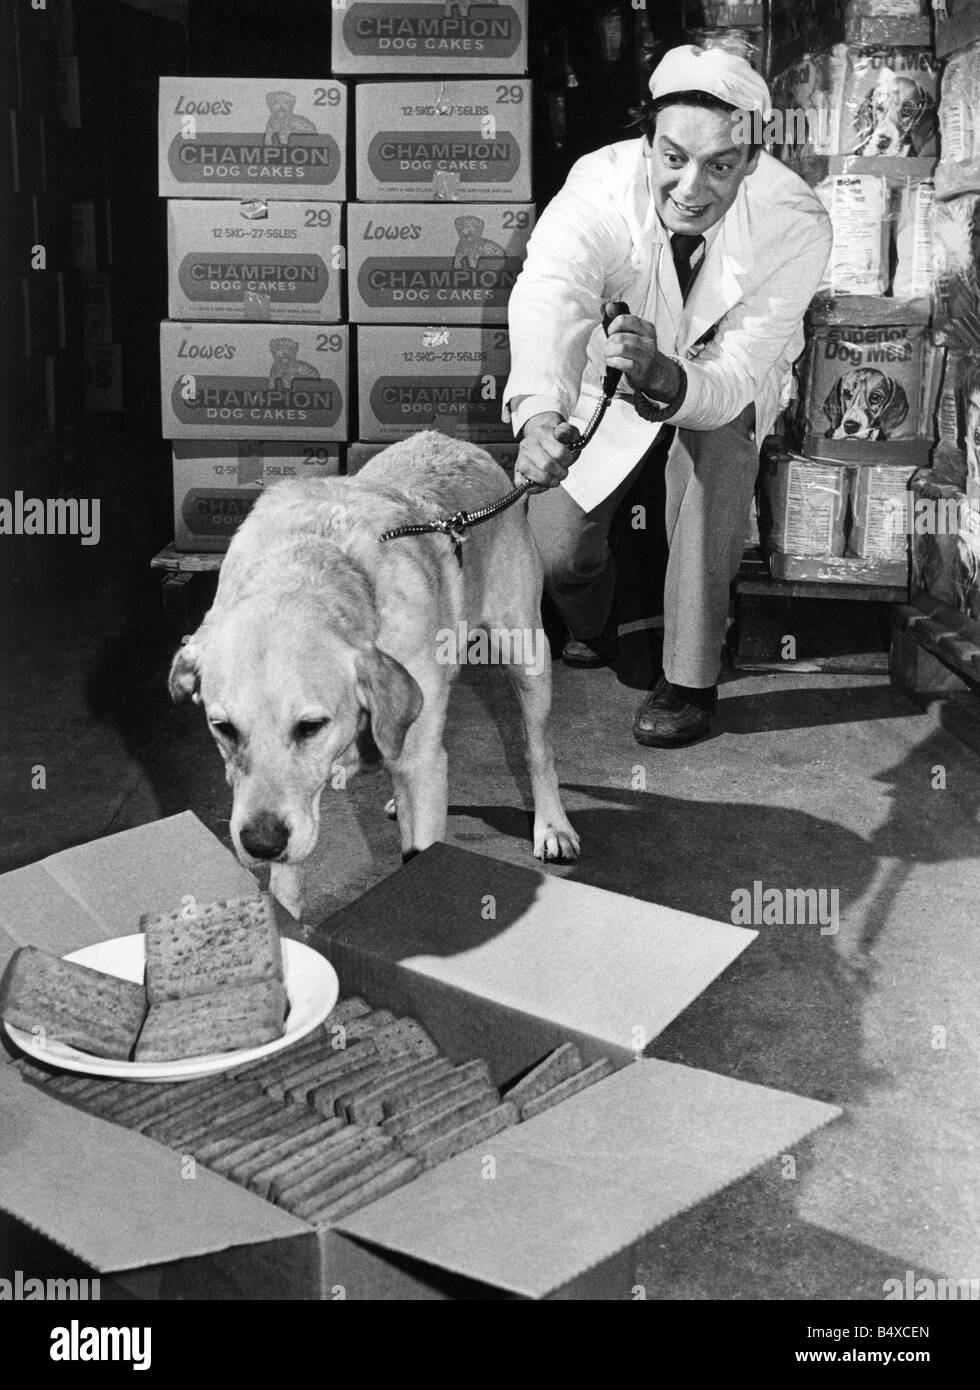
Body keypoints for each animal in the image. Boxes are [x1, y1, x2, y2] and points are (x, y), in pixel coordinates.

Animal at [168, 428, 578, 917]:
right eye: (223, 727)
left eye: (310, 726)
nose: (261, 845)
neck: (317, 565)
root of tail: (455, 441)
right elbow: (287, 889)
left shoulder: (419, 762)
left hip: (525, 650)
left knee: (538, 748)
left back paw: (552, 826)